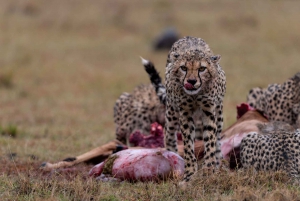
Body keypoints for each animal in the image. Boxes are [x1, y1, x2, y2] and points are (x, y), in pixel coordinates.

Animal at [164, 36, 225, 182]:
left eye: (202, 68)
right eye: (183, 68)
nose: (191, 81)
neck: (195, 95)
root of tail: (188, 37)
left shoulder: (209, 111)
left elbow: (210, 141)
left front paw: (209, 169)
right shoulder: (185, 113)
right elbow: (187, 145)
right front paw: (190, 172)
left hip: (219, 115)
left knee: (218, 139)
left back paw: (219, 163)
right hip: (171, 113)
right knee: (169, 134)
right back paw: (173, 155)